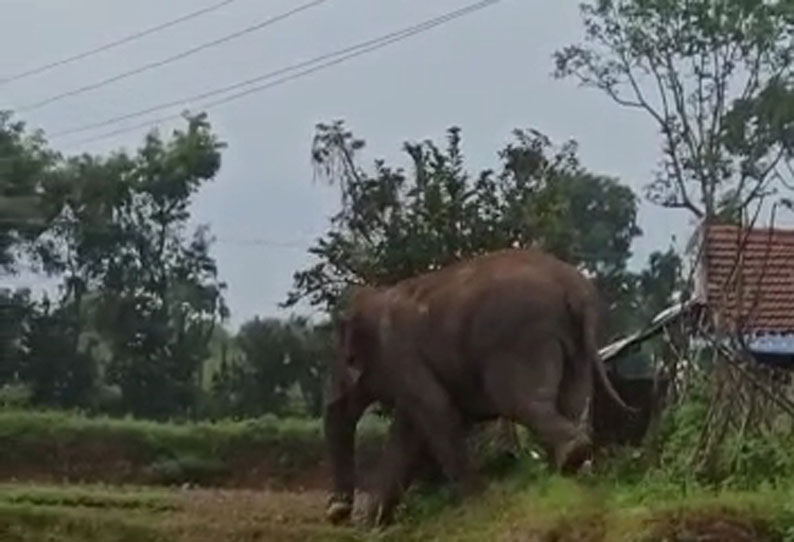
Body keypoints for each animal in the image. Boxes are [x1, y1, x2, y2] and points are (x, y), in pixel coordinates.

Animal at [322, 250, 632, 528]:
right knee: (572, 399)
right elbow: (409, 432)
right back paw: (574, 470)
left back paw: (570, 459)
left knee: (520, 401)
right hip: (572, 343)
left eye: (345, 362)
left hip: (519, 337)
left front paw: (477, 503)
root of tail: (576, 290)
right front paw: (373, 523)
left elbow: (438, 414)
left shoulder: (401, 355)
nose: (337, 512)